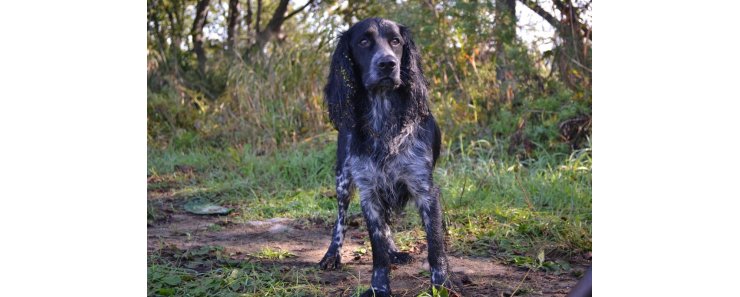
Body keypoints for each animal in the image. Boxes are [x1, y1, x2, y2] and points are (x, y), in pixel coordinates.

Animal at [320, 17, 450, 296]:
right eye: (363, 41)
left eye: (396, 41)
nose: (388, 63)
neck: (384, 119)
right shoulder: (368, 191)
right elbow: (377, 249)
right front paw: (378, 287)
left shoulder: (424, 189)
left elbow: (435, 246)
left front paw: (442, 286)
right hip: (343, 179)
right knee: (341, 219)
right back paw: (332, 255)